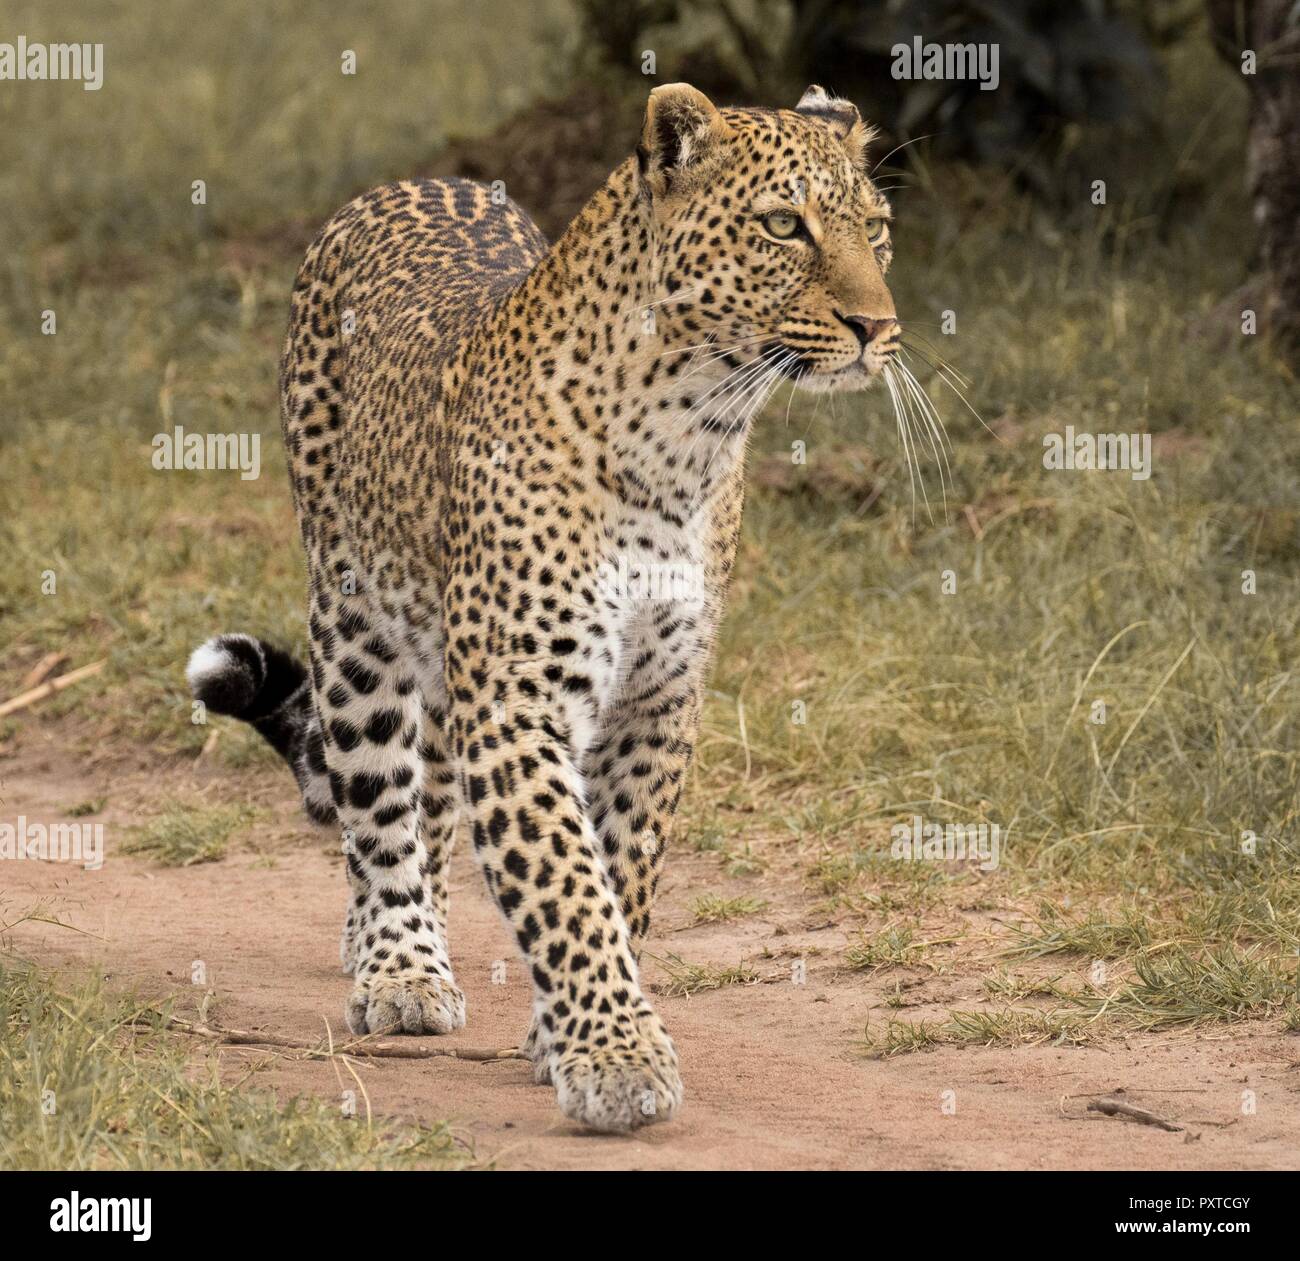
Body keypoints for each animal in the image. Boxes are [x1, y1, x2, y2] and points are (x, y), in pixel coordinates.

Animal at [188, 85, 899, 1128]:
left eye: (876, 229)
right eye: (783, 226)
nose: (875, 326)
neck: (689, 439)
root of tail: (411, 179)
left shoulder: (658, 699)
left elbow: (620, 871)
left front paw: (567, 1036)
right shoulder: (520, 696)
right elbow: (565, 877)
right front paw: (617, 1059)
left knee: (434, 799)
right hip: (356, 619)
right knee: (378, 803)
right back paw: (398, 965)